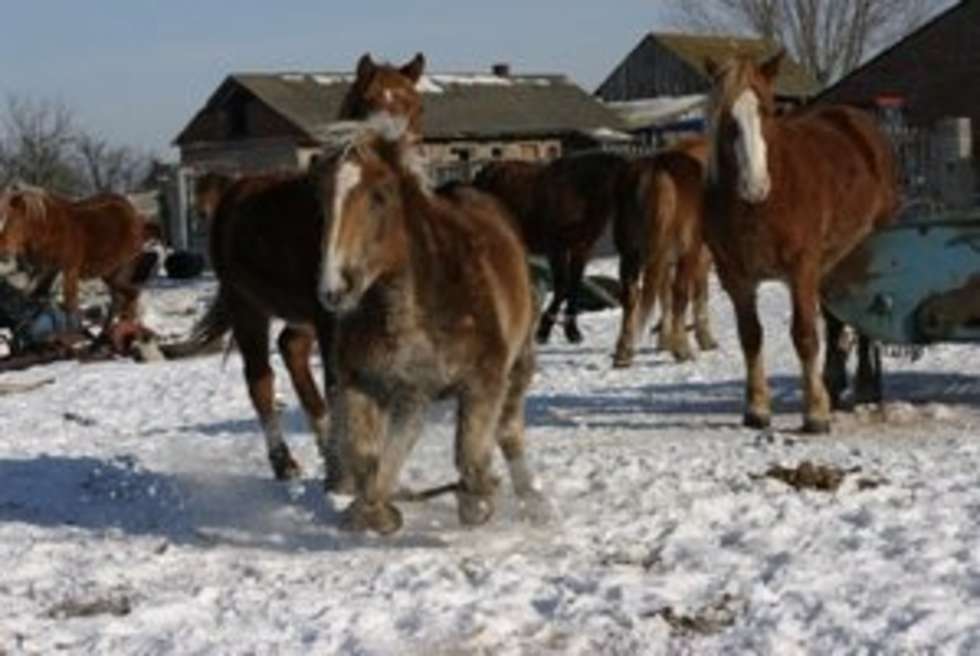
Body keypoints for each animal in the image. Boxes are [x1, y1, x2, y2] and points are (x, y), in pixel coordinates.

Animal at [182, 52, 426, 482]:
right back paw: (285, 463)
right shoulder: (333, 320)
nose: (392, 156)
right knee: (260, 380)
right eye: (365, 103)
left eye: (414, 105)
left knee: (292, 349)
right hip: (249, 308)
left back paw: (326, 450)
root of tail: (232, 190)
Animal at [314, 119, 544, 540]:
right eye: (322, 200)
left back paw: (533, 503)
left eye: (379, 196)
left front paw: (477, 499)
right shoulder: (383, 388)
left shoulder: (483, 381)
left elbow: (471, 457)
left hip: (520, 362)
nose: (334, 289)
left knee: (508, 428)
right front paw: (373, 513)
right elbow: (369, 460)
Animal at [612, 139, 720, 368]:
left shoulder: (664, 259)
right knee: (681, 294)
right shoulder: (700, 255)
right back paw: (683, 350)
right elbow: (698, 294)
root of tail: (656, 171)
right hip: (686, 254)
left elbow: (664, 295)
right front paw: (703, 339)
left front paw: (664, 340)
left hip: (630, 255)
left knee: (631, 297)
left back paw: (624, 352)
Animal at [700, 53, 900, 434]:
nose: (755, 185)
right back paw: (833, 384)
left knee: (862, 320)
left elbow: (805, 335)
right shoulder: (737, 278)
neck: (760, 206)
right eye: (727, 117)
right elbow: (751, 336)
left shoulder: (801, 268)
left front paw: (815, 415)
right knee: (835, 319)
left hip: (867, 250)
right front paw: (757, 409)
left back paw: (865, 387)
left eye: (766, 110)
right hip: (833, 263)